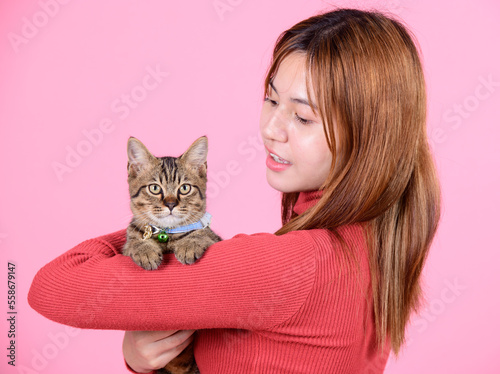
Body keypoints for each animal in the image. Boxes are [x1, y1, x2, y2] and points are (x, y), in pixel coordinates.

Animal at [121, 135, 221, 374]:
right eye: (154, 188)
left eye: (184, 188)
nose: (171, 203)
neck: (166, 234)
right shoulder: (126, 245)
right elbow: (134, 242)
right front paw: (146, 250)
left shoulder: (214, 236)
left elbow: (201, 234)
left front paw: (189, 244)